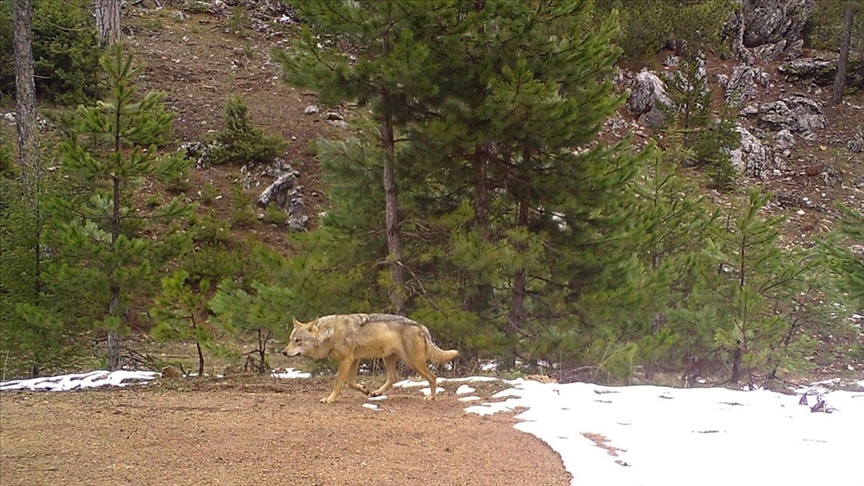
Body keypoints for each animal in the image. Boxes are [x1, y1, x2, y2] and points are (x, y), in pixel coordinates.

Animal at [282, 314, 460, 404]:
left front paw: (329, 399)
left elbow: (339, 383)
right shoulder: (354, 360)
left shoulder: (346, 360)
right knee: (394, 377)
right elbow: (351, 382)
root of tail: (420, 326)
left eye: (298, 340)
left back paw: (432, 397)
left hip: (413, 362)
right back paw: (376, 392)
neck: (330, 333)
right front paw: (365, 389)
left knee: (433, 377)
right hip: (388, 359)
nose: (284, 352)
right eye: (290, 339)